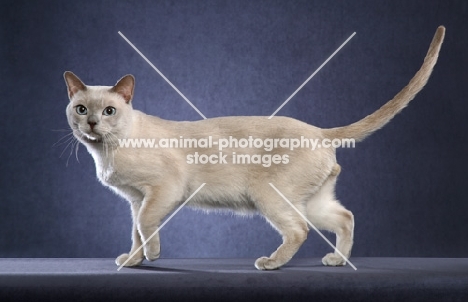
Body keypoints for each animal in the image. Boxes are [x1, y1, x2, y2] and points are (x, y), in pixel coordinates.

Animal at [64, 27, 444, 270]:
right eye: (81, 109)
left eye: (109, 111)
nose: (92, 124)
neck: (105, 153)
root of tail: (319, 131)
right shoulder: (136, 199)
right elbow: (136, 233)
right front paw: (133, 262)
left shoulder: (160, 193)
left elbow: (145, 227)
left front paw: (151, 257)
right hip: (310, 201)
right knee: (344, 217)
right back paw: (338, 261)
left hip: (270, 196)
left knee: (300, 229)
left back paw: (271, 263)